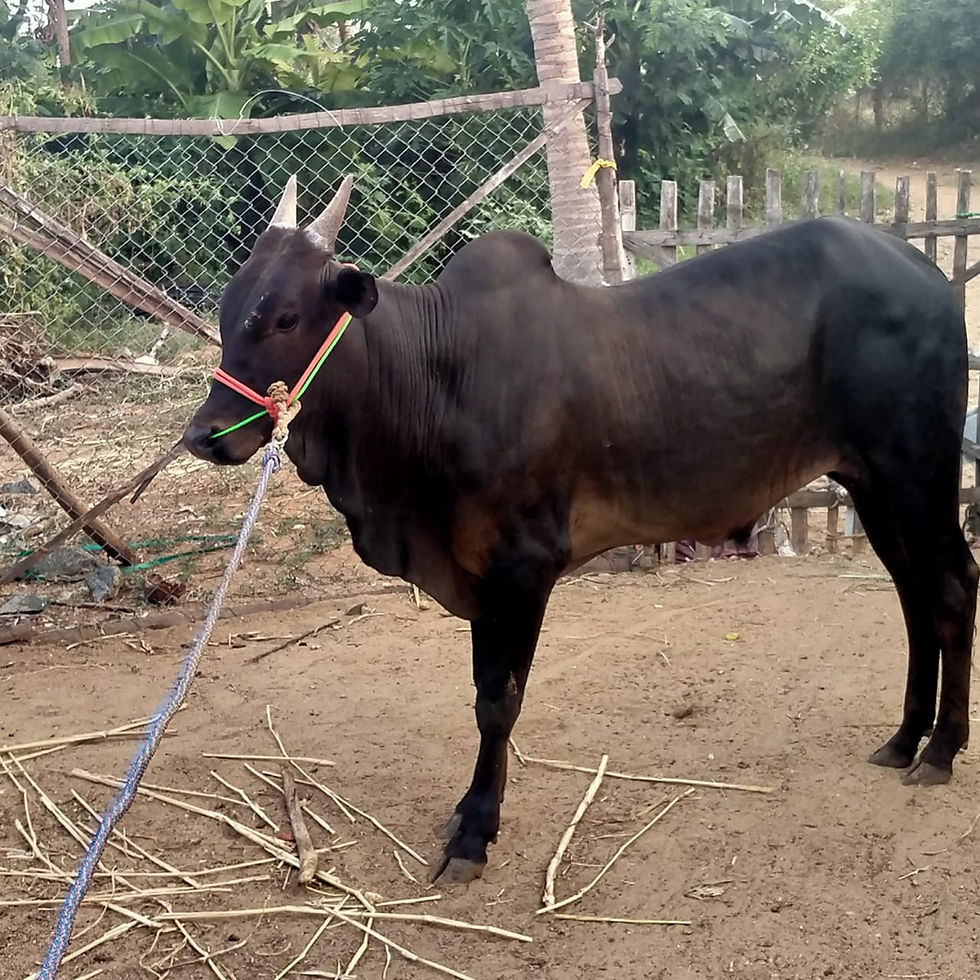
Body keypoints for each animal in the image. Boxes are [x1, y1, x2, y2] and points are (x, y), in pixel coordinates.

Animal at [183, 175, 978, 884]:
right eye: (228, 312)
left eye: (286, 318)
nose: (204, 435)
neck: (436, 376)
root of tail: (928, 275)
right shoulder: (477, 572)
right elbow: (482, 692)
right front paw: (469, 814)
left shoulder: (524, 566)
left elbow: (498, 701)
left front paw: (475, 834)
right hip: (871, 484)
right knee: (913, 596)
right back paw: (904, 738)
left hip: (918, 472)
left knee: (951, 587)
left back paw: (941, 749)